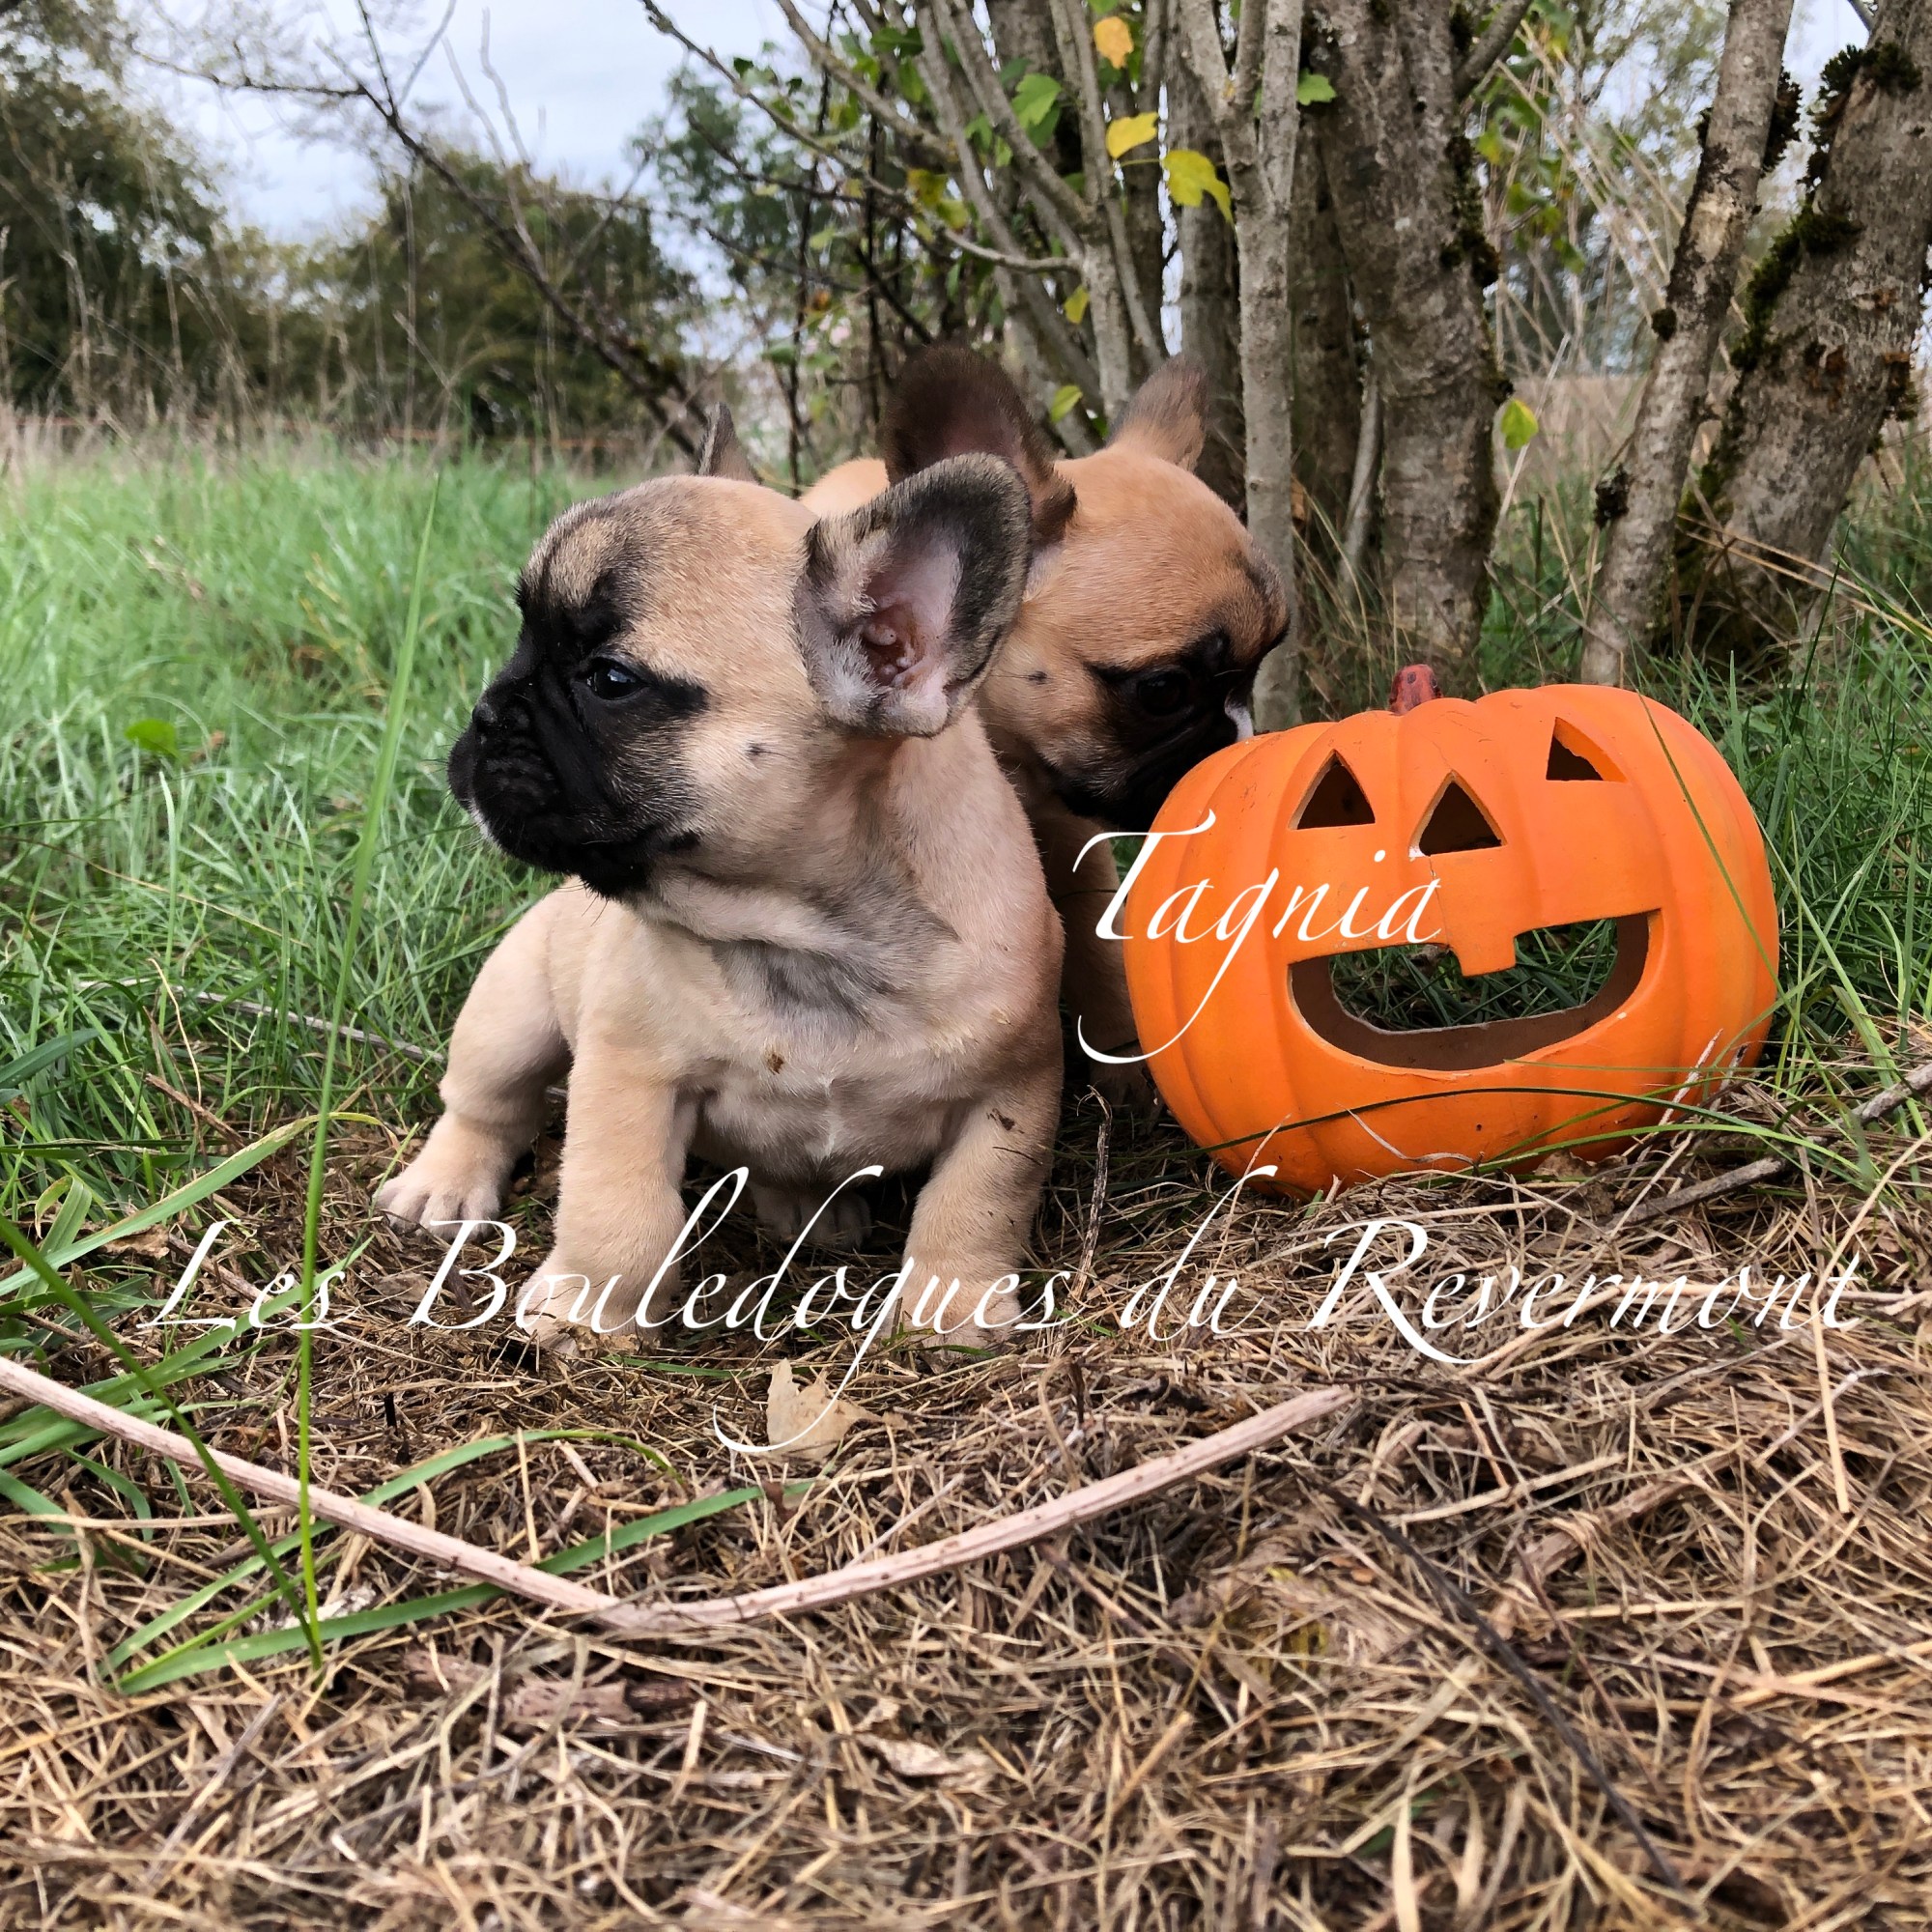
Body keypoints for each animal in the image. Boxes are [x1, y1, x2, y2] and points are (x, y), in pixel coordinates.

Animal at [375, 411, 1064, 1350]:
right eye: (521, 642)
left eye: (610, 681)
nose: (484, 713)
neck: (810, 935)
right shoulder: (629, 1076)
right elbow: (618, 1209)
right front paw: (588, 1311)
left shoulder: (1009, 1096)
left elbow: (977, 1205)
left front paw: (950, 1311)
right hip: (508, 1015)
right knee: (485, 1102)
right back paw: (442, 1183)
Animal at [804, 349, 1288, 1099]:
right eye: (1163, 690)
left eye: (1265, 660)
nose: (1238, 744)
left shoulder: (1070, 832)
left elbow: (1093, 938)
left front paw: (1124, 1064)